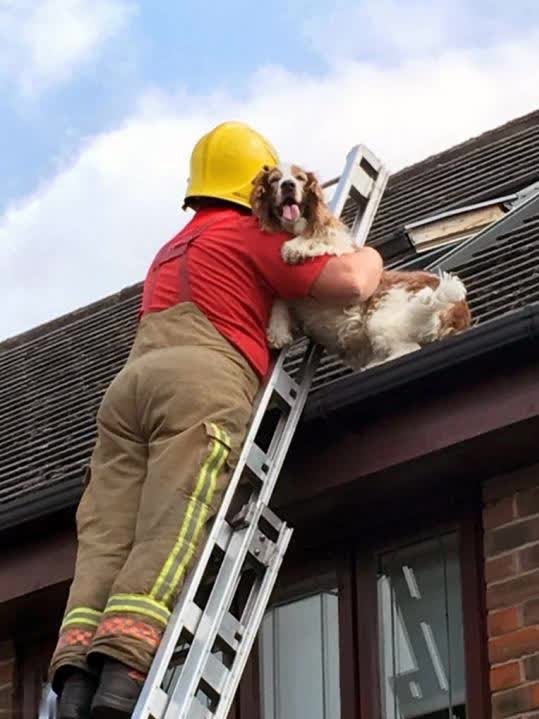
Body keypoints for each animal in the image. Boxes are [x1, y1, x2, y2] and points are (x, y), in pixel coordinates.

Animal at [250, 163, 472, 369]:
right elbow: (279, 299)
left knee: (407, 350)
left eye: (300, 178)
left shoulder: (343, 252)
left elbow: (317, 238)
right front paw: (277, 331)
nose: (288, 185)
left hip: (381, 316)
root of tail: (459, 309)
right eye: (274, 180)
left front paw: (295, 246)